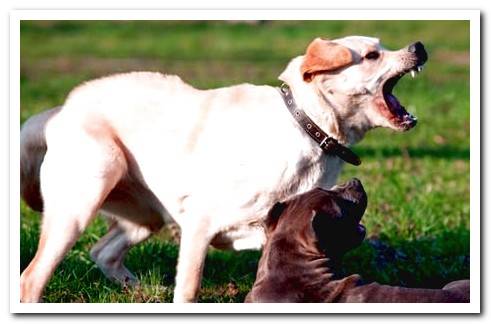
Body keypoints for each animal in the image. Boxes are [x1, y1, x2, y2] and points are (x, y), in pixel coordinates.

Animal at [20, 36, 426, 302]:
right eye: (372, 55)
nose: (419, 47)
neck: (306, 126)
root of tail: (62, 109)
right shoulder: (199, 225)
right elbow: (189, 289)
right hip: (83, 201)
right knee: (32, 277)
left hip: (147, 215)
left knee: (102, 252)